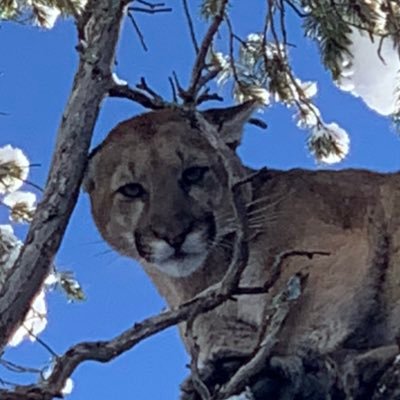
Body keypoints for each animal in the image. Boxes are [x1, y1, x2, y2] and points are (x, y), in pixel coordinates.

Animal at [83, 103, 400, 400]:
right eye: (132, 190)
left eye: (193, 174)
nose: (174, 235)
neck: (205, 279)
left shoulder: (328, 248)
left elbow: (284, 325)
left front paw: (266, 370)